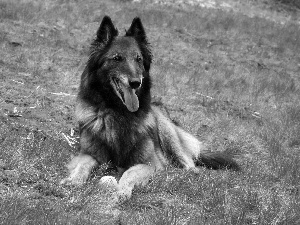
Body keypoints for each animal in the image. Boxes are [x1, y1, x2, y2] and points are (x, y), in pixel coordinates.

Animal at [61, 16, 239, 200]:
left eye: (138, 59)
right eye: (117, 58)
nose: (135, 82)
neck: (118, 112)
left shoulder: (149, 163)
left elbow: (129, 173)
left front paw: (122, 191)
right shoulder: (88, 154)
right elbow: (82, 166)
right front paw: (73, 181)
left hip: (167, 132)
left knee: (188, 163)